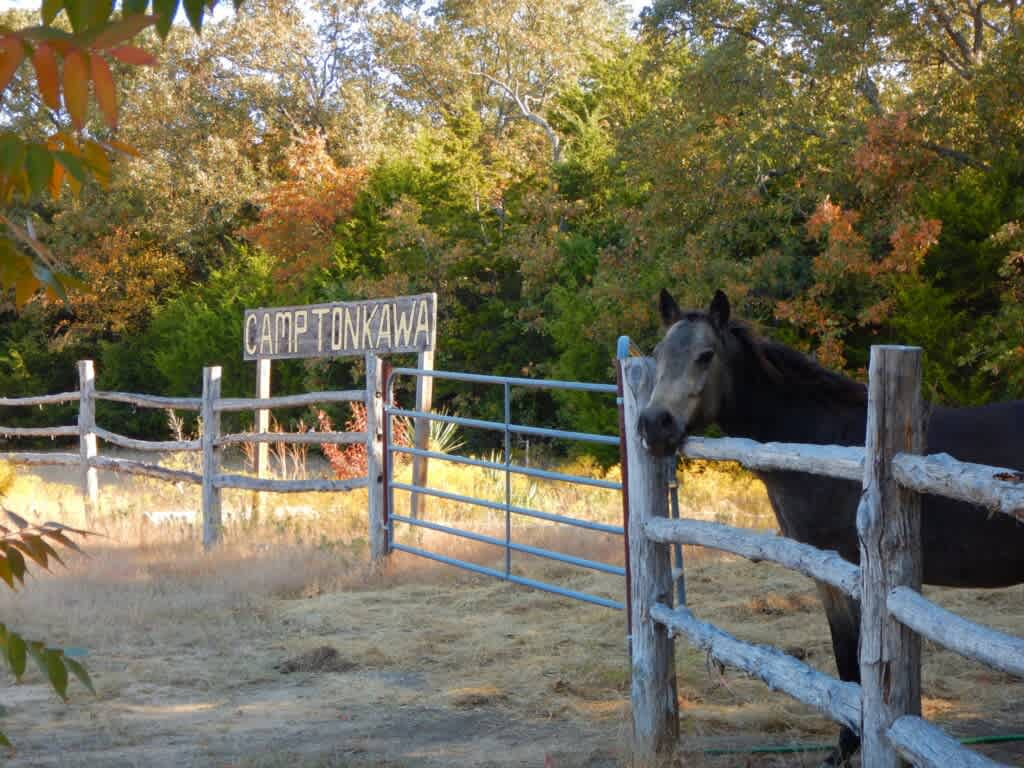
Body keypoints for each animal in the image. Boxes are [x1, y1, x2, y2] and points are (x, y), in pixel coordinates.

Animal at [643, 286, 1024, 765]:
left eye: (705, 355)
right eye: (657, 354)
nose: (653, 425)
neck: (828, 440)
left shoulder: (852, 570)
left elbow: (856, 657)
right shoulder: (826, 573)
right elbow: (843, 653)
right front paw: (844, 745)